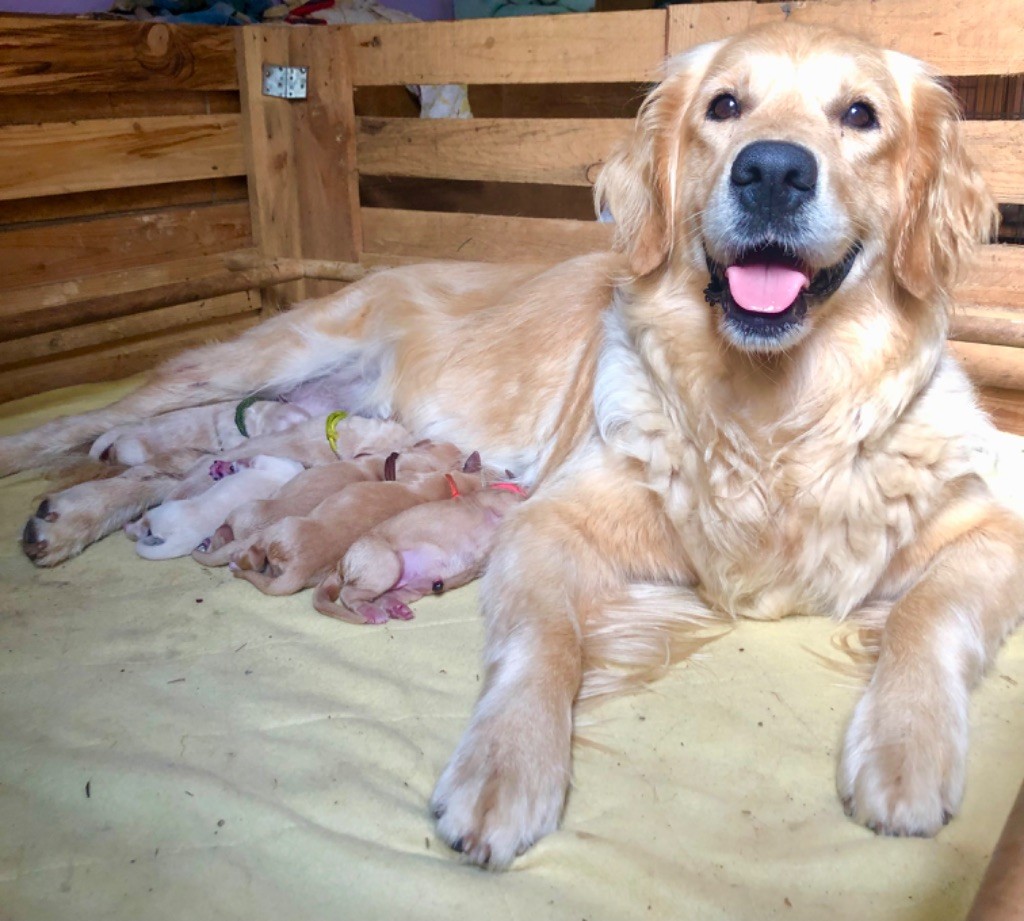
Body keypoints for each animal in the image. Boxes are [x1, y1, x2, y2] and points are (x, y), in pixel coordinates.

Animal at [313, 483, 524, 626]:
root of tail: (341, 563)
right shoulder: (501, 502)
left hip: (412, 587)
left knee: (384, 596)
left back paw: (397, 609)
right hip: (386, 566)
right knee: (349, 594)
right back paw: (372, 612)